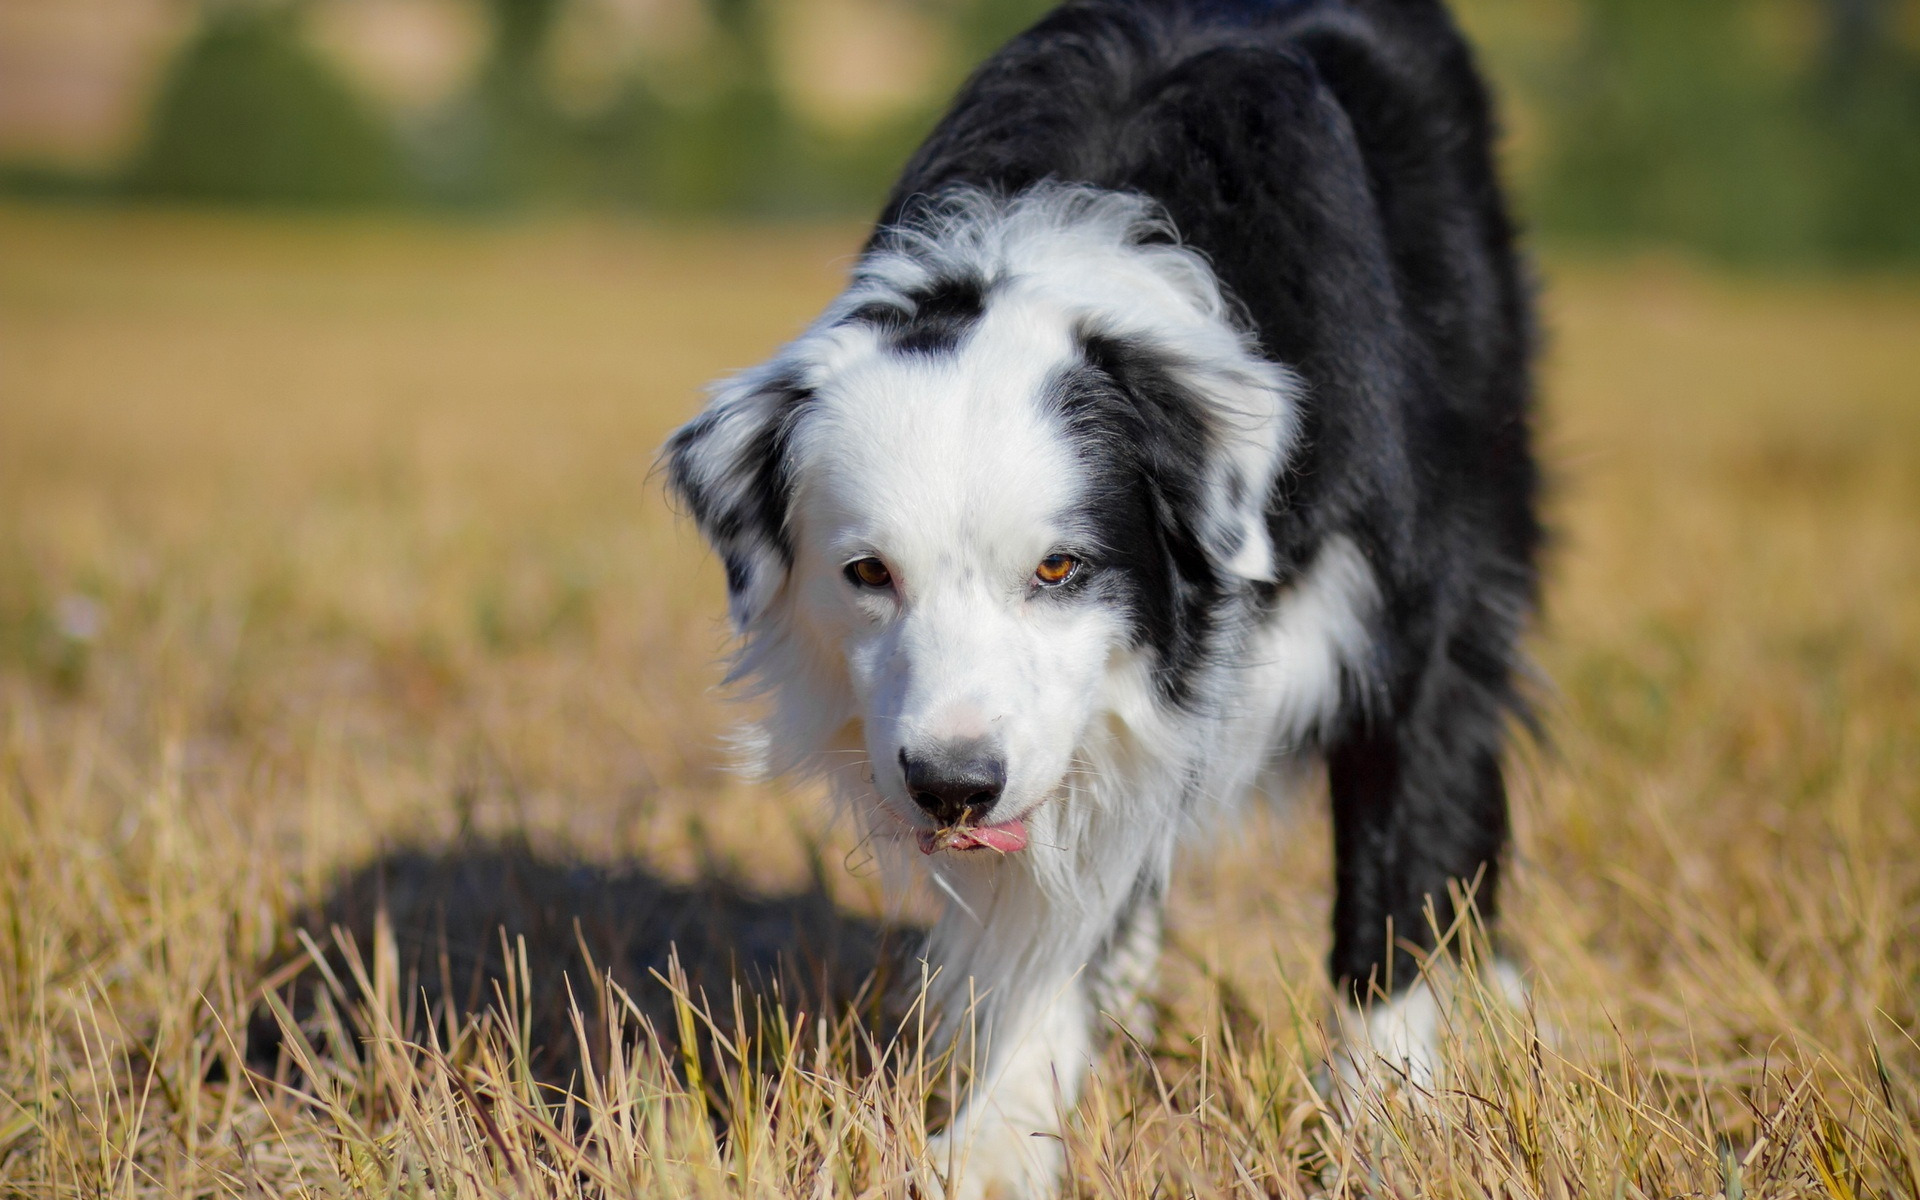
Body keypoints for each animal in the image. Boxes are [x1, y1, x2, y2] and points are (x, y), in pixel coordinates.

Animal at [668, 0, 1536, 1190]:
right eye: (869, 573)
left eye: (1059, 568)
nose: (952, 789)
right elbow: (1049, 918)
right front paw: (995, 1140)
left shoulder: (1406, 619)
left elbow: (1397, 875)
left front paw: (1393, 1121)